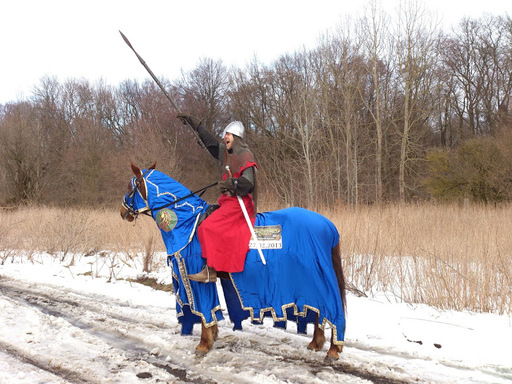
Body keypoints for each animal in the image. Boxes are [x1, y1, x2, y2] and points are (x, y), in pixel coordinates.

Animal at [119, 162, 348, 360]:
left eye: (130, 187)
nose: (122, 212)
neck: (186, 222)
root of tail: (329, 225)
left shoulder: (195, 278)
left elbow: (206, 311)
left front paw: (204, 344)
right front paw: (213, 337)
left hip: (318, 278)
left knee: (332, 307)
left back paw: (333, 349)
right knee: (320, 312)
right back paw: (316, 343)